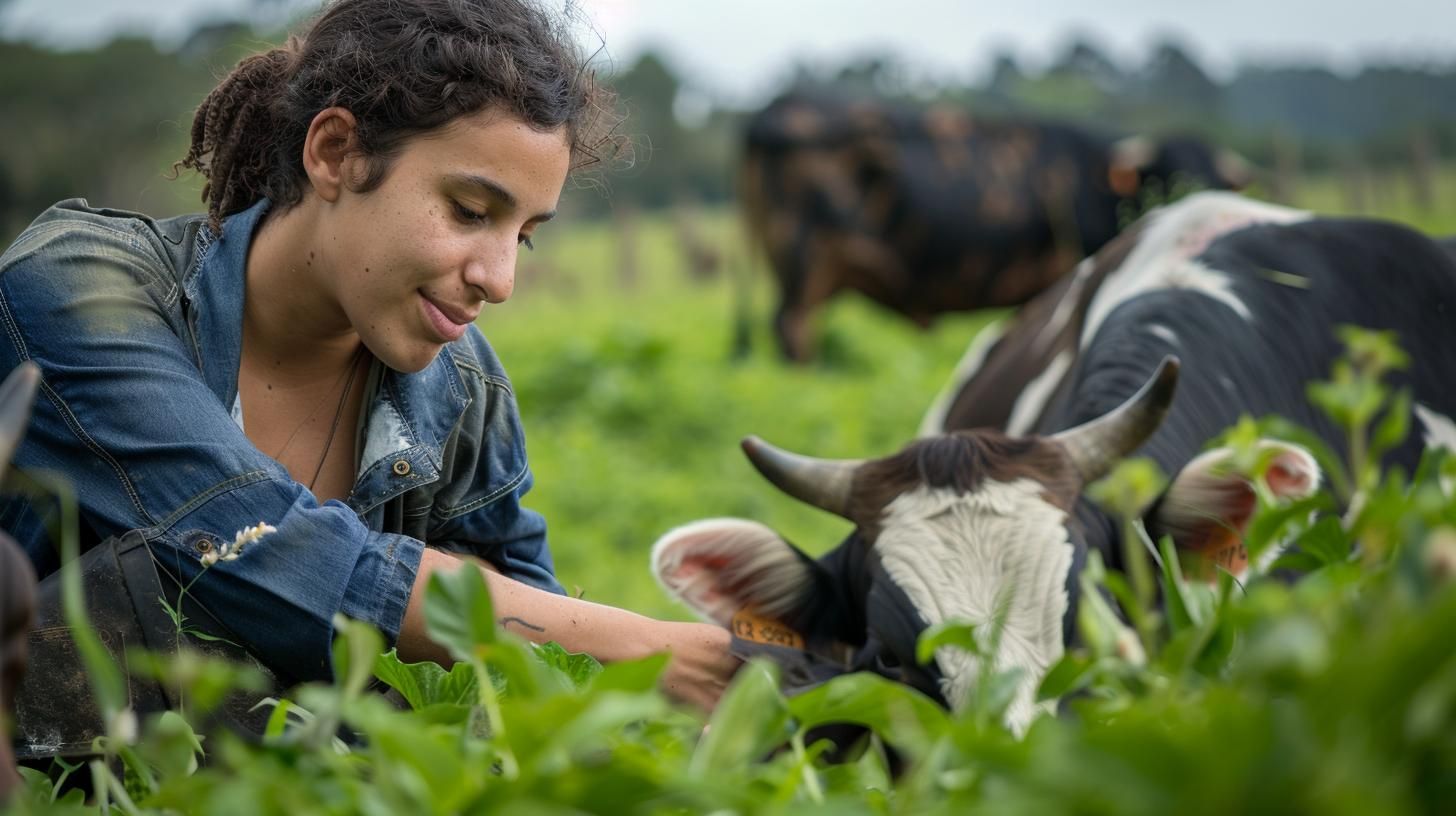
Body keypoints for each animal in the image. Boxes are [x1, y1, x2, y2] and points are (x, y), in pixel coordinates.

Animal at [739, 91, 1252, 359]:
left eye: (1216, 176)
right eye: (1167, 176)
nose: (1199, 207)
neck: (1091, 177)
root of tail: (779, 105)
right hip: (805, 257)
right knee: (793, 327)